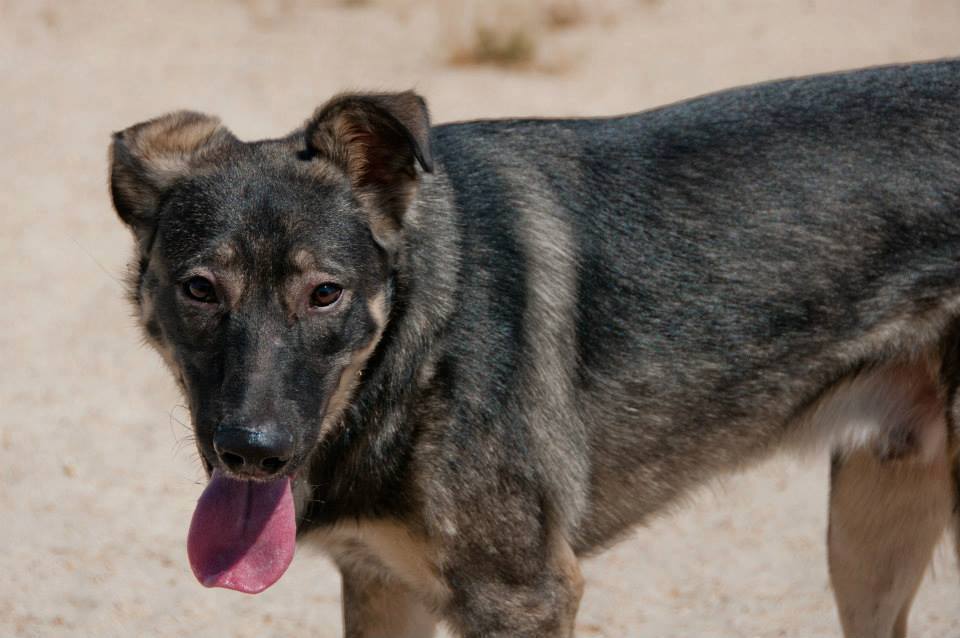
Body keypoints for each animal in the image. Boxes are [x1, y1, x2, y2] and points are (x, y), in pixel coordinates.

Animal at [109, 58, 960, 636]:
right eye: (200, 290)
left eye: (325, 293)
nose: (254, 452)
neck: (422, 343)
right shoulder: (383, 584)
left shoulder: (524, 598)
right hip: (870, 530)